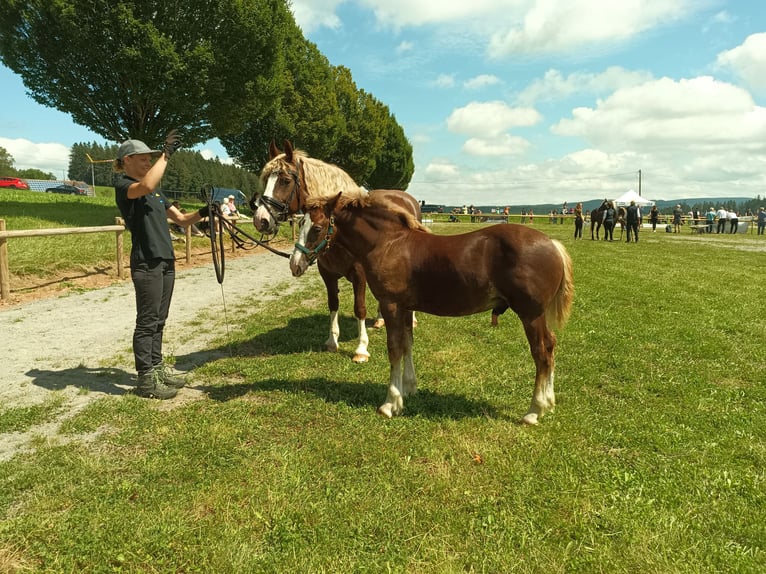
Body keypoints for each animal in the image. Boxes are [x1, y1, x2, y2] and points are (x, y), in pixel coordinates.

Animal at [252, 141, 420, 362]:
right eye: (265, 180)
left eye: (285, 180)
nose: (260, 220)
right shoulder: (328, 275)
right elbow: (333, 304)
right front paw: (332, 342)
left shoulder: (359, 276)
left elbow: (359, 308)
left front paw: (361, 349)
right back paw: (380, 320)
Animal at [294, 191, 576, 426]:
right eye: (299, 224)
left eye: (316, 227)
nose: (295, 264)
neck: (389, 243)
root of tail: (552, 244)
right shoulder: (405, 308)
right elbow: (407, 344)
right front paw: (408, 388)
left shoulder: (391, 305)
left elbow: (394, 350)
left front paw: (390, 403)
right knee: (551, 346)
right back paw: (548, 403)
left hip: (531, 315)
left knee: (541, 352)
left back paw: (534, 411)